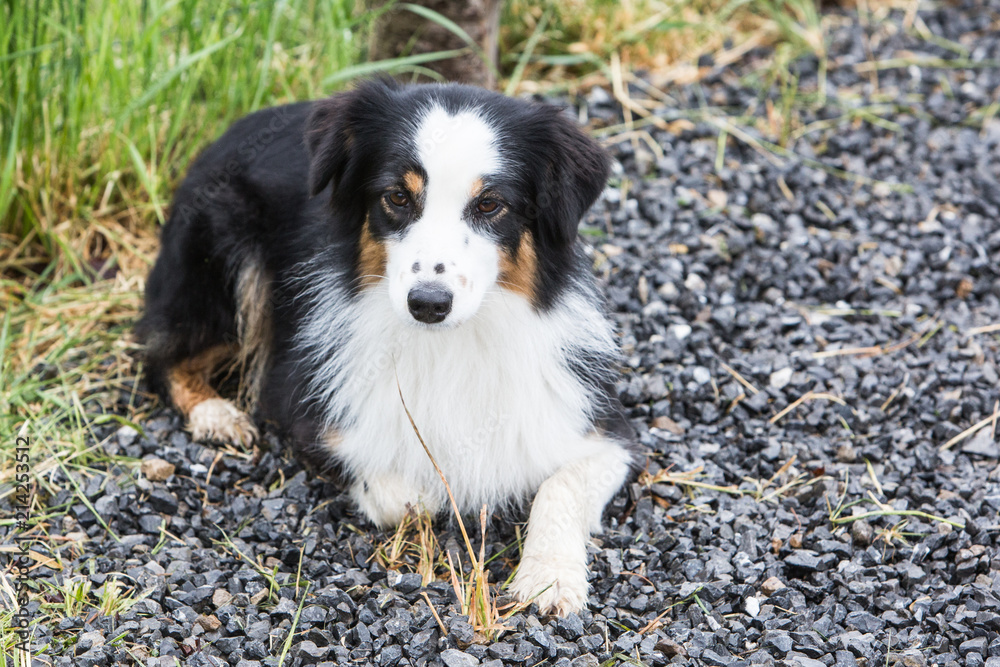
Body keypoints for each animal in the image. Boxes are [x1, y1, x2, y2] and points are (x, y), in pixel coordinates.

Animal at [137, 78, 640, 616]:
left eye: (490, 204)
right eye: (397, 196)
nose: (428, 303)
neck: (451, 344)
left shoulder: (602, 429)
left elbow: (560, 484)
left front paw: (550, 578)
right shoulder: (309, 409)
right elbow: (408, 496)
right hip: (223, 255)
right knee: (161, 352)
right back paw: (215, 414)